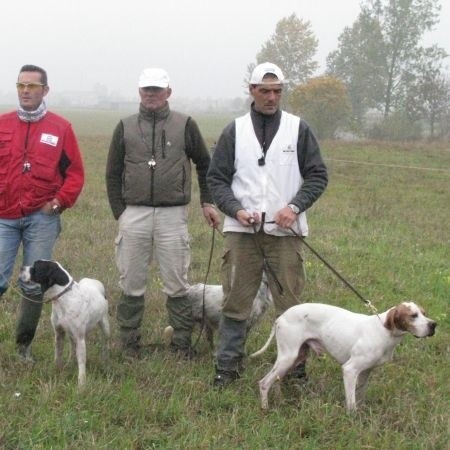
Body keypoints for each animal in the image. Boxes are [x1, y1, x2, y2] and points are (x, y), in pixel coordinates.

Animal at [250, 302, 436, 412]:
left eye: (424, 313)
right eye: (413, 315)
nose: (433, 324)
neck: (384, 331)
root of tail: (280, 317)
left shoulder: (365, 372)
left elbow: (359, 396)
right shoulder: (350, 370)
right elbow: (351, 404)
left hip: (295, 357)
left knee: (275, 380)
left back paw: (278, 400)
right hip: (288, 357)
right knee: (264, 383)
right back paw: (265, 409)